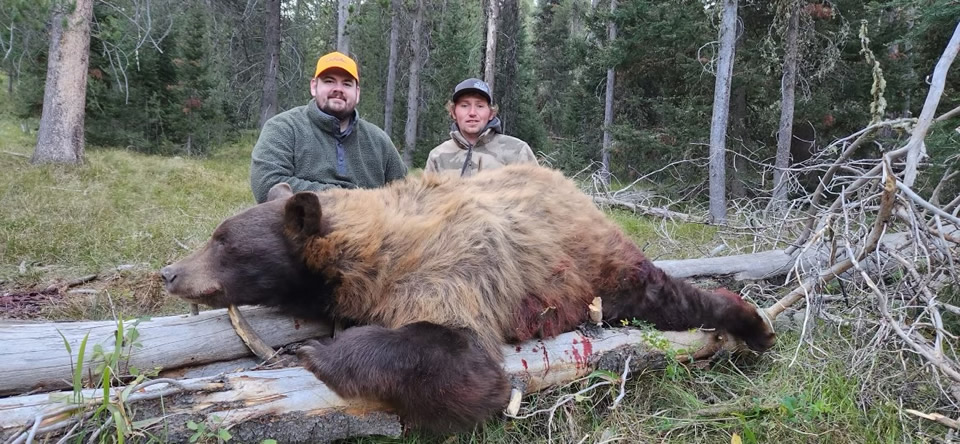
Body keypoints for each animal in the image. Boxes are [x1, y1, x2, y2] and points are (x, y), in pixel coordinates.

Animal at [160, 164, 774, 434]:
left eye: (223, 241)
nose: (169, 272)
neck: (368, 255)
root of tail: (578, 190)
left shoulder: (452, 267)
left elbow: (471, 367)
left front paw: (314, 353)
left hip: (602, 265)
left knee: (670, 296)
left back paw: (755, 325)